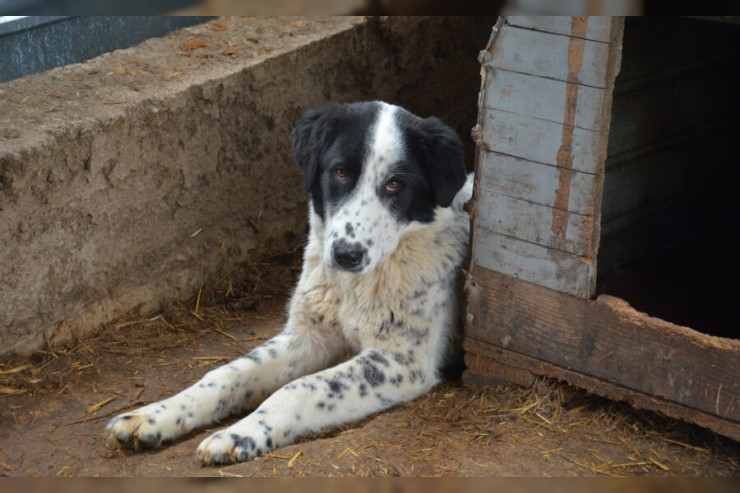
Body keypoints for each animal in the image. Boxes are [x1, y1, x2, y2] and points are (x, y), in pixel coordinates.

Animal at [106, 102, 472, 464]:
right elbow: (228, 373)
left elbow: (301, 387)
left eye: (395, 184)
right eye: (340, 172)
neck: (351, 288)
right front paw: (157, 414)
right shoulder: (308, 336)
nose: (345, 254)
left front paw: (238, 434)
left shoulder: (400, 360)